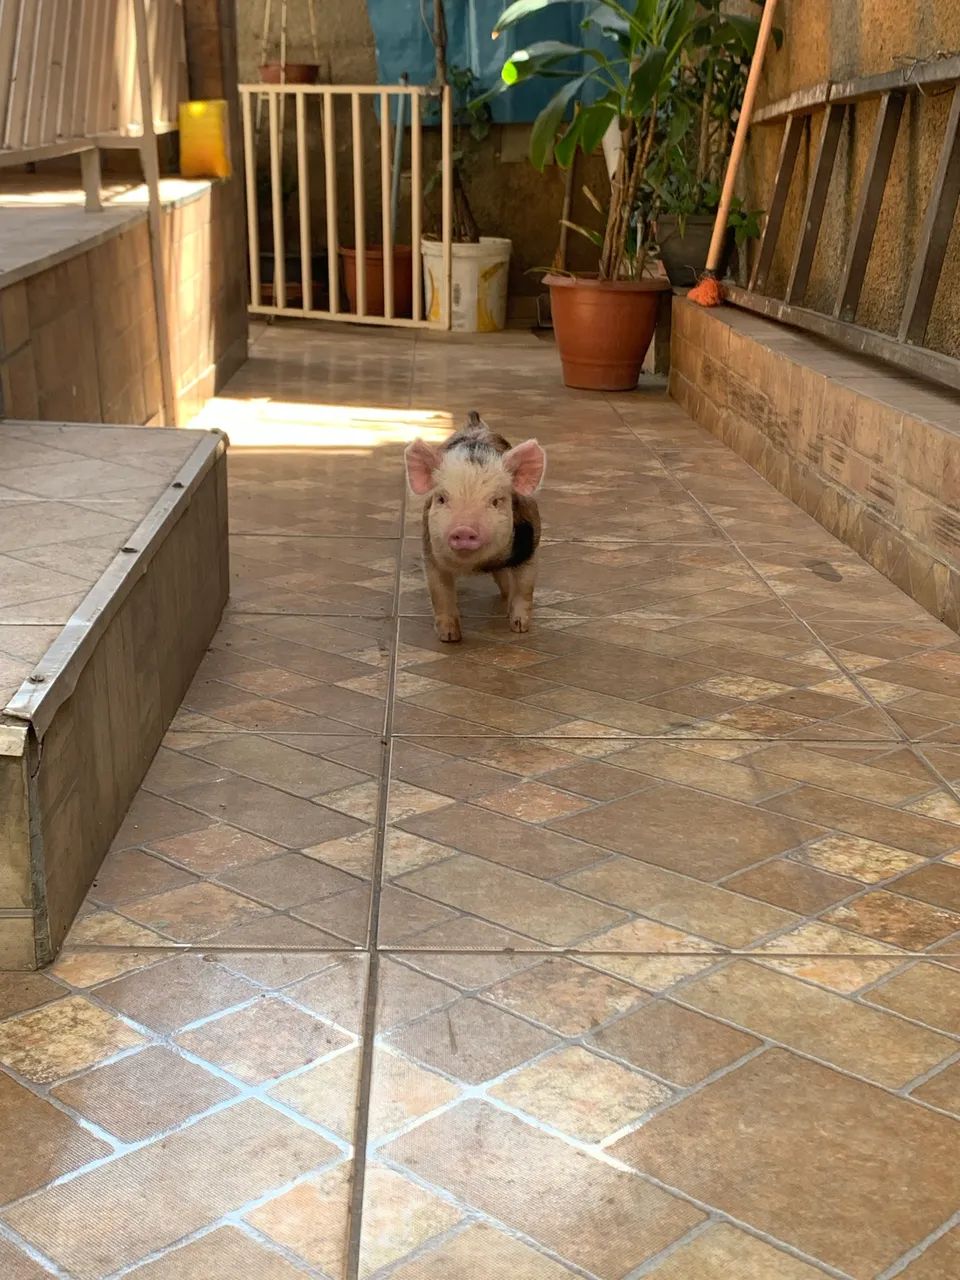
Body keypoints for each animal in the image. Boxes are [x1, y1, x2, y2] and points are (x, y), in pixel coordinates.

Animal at [404, 412, 546, 642]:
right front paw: (449, 637)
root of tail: (475, 422)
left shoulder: (530, 546)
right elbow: (440, 594)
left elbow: (525, 588)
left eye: (496, 501)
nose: (464, 529)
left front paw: (519, 627)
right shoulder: (430, 554)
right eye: (441, 499)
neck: (476, 566)